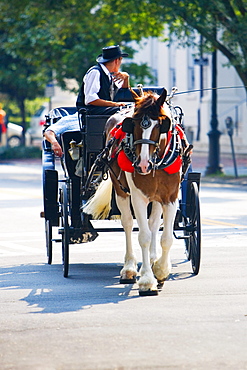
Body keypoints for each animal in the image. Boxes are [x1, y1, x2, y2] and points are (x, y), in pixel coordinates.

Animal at [84, 88, 186, 296]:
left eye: (160, 125)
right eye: (134, 124)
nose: (143, 164)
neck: (157, 162)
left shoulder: (170, 197)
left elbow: (166, 237)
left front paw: (160, 270)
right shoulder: (138, 197)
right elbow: (143, 236)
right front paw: (147, 280)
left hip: (156, 197)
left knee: (153, 223)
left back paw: (153, 260)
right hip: (121, 192)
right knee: (128, 224)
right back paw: (129, 268)